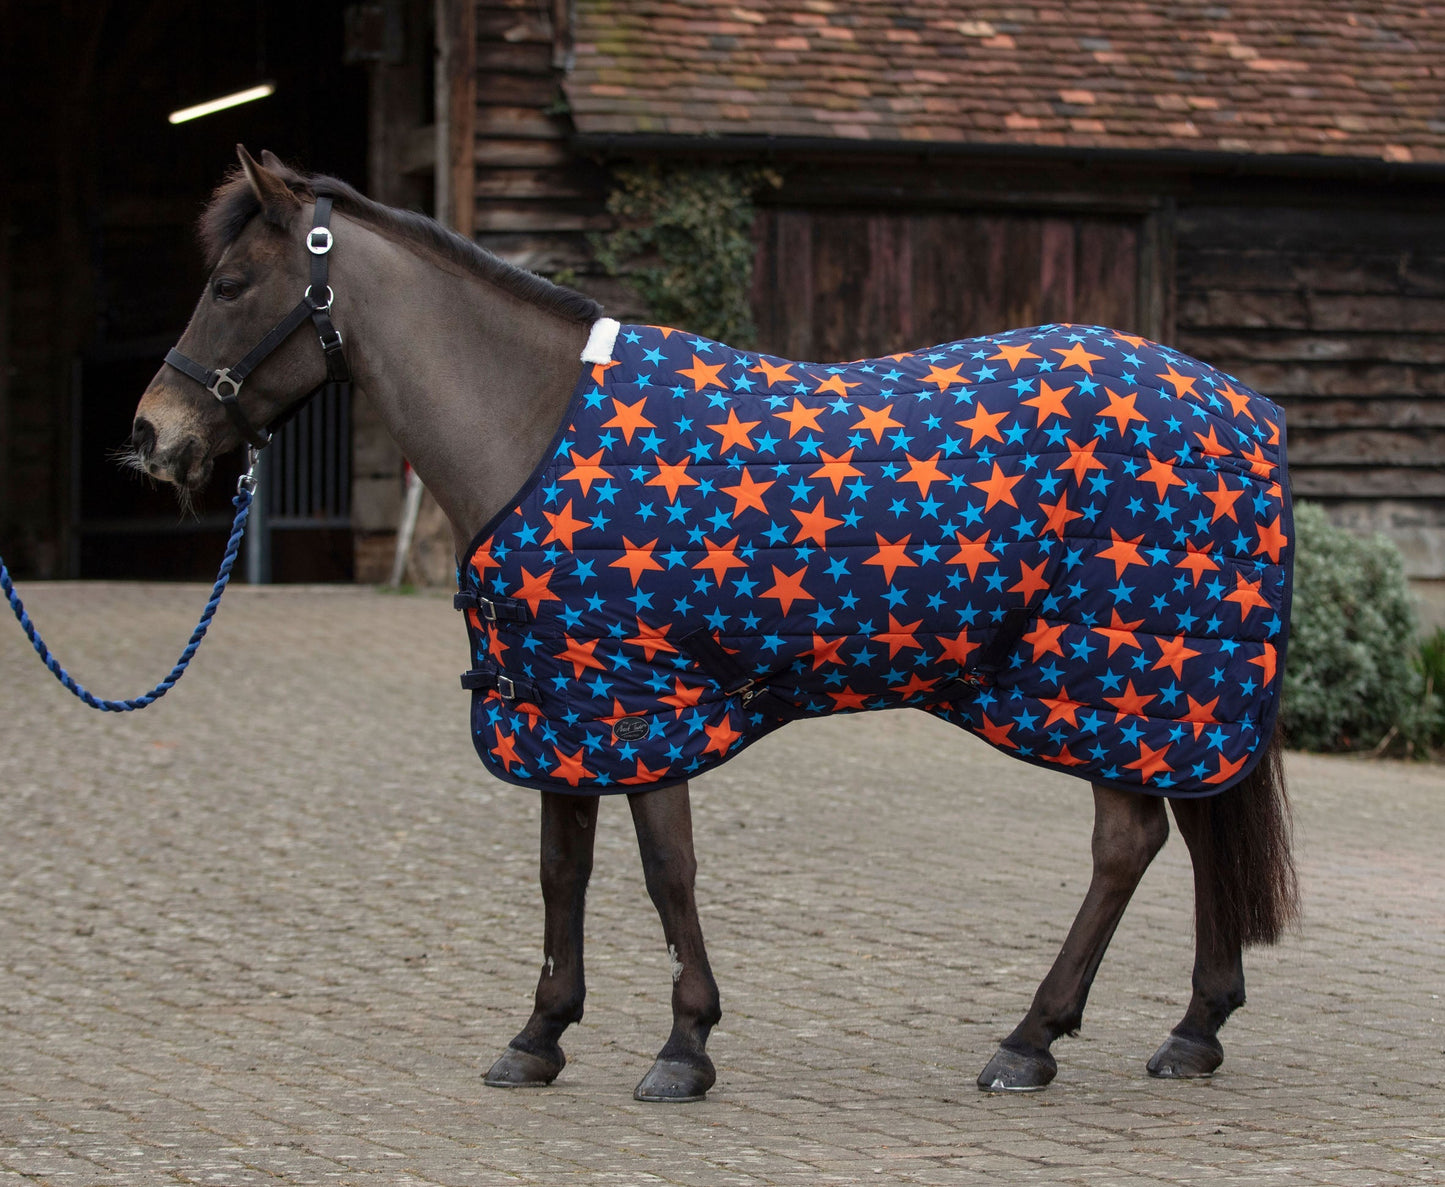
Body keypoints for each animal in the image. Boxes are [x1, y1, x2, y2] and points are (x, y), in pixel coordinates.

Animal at [130, 147, 1299, 1103]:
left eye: (230, 284)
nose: (152, 434)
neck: (537, 424)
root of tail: (1238, 403)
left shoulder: (645, 698)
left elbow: (665, 868)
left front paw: (682, 1044)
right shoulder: (564, 700)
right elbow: (562, 870)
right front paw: (538, 1035)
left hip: (1112, 674)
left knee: (1126, 842)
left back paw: (1029, 1039)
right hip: (1164, 685)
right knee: (1195, 826)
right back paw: (1191, 1028)